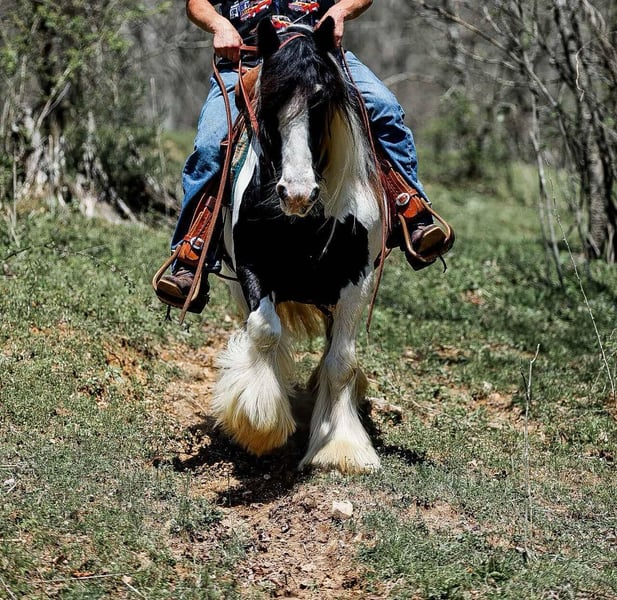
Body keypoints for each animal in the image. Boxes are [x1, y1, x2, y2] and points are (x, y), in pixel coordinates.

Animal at [211, 17, 384, 473]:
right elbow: (265, 330)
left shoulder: (355, 280)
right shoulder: (253, 269)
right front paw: (260, 424)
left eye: (322, 100)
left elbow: (340, 363)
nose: (297, 193)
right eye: (270, 99)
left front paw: (340, 447)